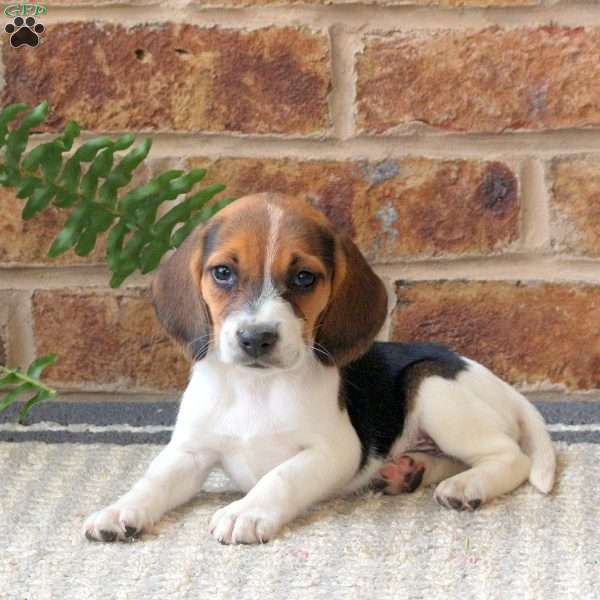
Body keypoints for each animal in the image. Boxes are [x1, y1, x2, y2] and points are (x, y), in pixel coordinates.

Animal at [82, 192, 556, 544]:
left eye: (305, 278)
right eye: (222, 273)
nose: (256, 338)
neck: (257, 387)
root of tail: (498, 384)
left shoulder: (333, 451)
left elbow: (281, 477)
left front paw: (246, 511)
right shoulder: (190, 452)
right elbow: (153, 481)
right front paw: (119, 509)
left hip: (435, 386)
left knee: (508, 457)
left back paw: (466, 487)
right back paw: (408, 471)